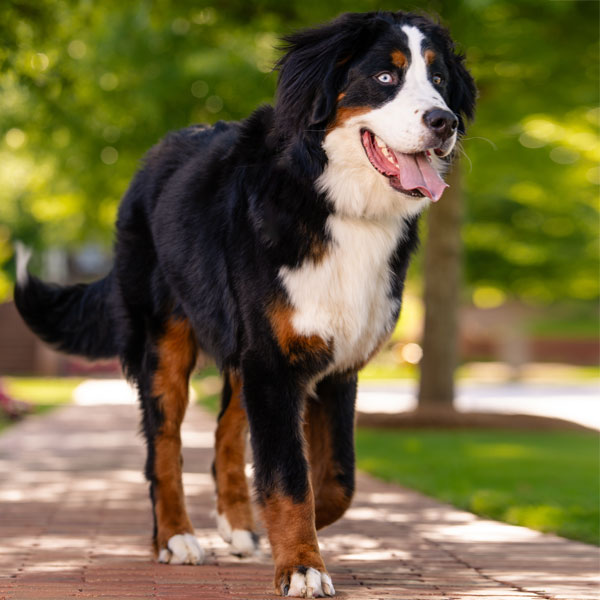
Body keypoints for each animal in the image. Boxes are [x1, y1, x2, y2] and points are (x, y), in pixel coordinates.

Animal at [12, 10, 474, 600]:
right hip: (165, 346)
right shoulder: (273, 364)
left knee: (224, 431)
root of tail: (154, 156)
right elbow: (290, 478)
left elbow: (334, 480)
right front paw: (301, 565)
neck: (334, 201)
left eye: (438, 79)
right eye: (386, 77)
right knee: (163, 448)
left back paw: (236, 525)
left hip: (238, 346)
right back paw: (176, 538)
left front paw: (286, 539)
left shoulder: (332, 364)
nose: (444, 121)